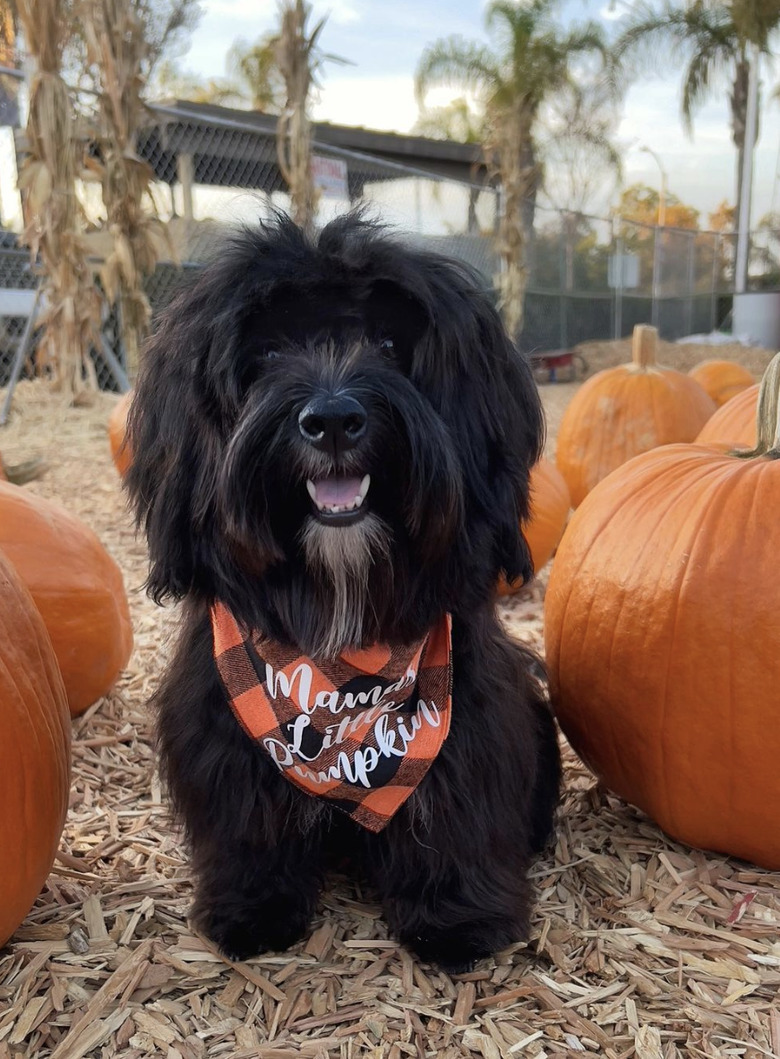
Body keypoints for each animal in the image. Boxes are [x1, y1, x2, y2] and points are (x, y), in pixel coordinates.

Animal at [130, 210, 563, 970]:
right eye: (268, 352)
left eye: (390, 344)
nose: (332, 419)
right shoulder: (223, 721)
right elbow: (249, 822)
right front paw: (253, 906)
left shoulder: (471, 711)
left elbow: (455, 807)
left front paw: (456, 914)